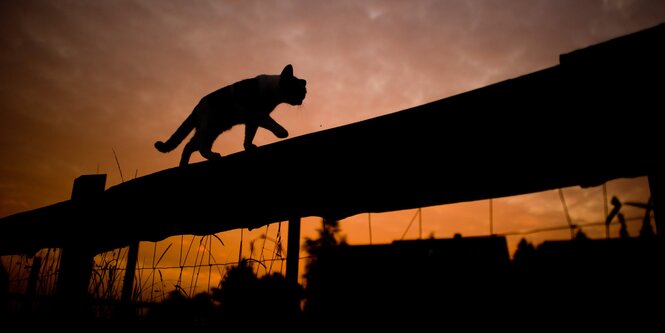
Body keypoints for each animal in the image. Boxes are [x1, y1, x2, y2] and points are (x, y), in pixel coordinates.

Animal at [154, 63, 306, 166]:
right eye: (299, 91)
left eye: (304, 92)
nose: (302, 99)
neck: (272, 92)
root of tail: (195, 108)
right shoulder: (257, 115)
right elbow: (272, 123)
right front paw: (282, 132)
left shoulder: (252, 121)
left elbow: (249, 136)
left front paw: (248, 146)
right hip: (209, 128)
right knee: (199, 147)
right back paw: (212, 156)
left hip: (213, 131)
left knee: (190, 145)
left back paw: (183, 165)